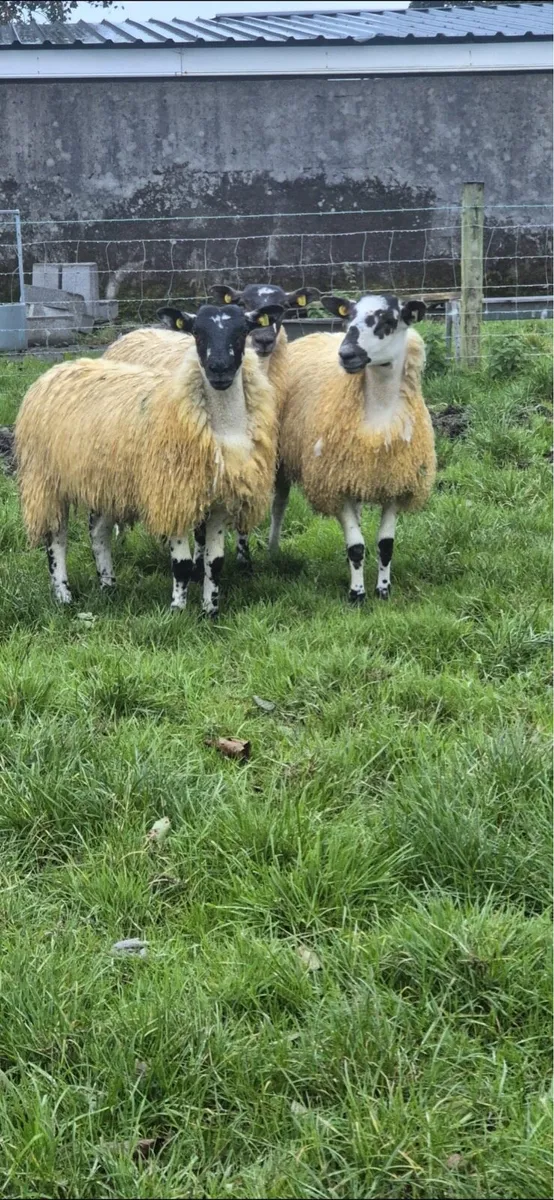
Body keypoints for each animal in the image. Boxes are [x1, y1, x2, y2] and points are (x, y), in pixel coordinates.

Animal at [15, 301, 284, 617]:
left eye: (242, 331)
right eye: (197, 333)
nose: (219, 369)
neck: (223, 428)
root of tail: (57, 369)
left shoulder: (220, 501)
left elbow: (214, 563)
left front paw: (210, 611)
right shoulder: (172, 495)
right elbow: (181, 565)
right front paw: (177, 612)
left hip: (105, 481)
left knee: (98, 532)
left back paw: (108, 586)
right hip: (45, 479)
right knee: (56, 537)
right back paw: (63, 595)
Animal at [269, 292, 436, 602]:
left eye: (389, 320)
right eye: (349, 318)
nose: (346, 354)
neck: (380, 413)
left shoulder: (395, 484)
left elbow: (385, 544)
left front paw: (383, 590)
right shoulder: (335, 485)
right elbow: (356, 546)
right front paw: (356, 594)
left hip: (355, 473)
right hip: (283, 458)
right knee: (279, 506)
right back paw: (272, 551)